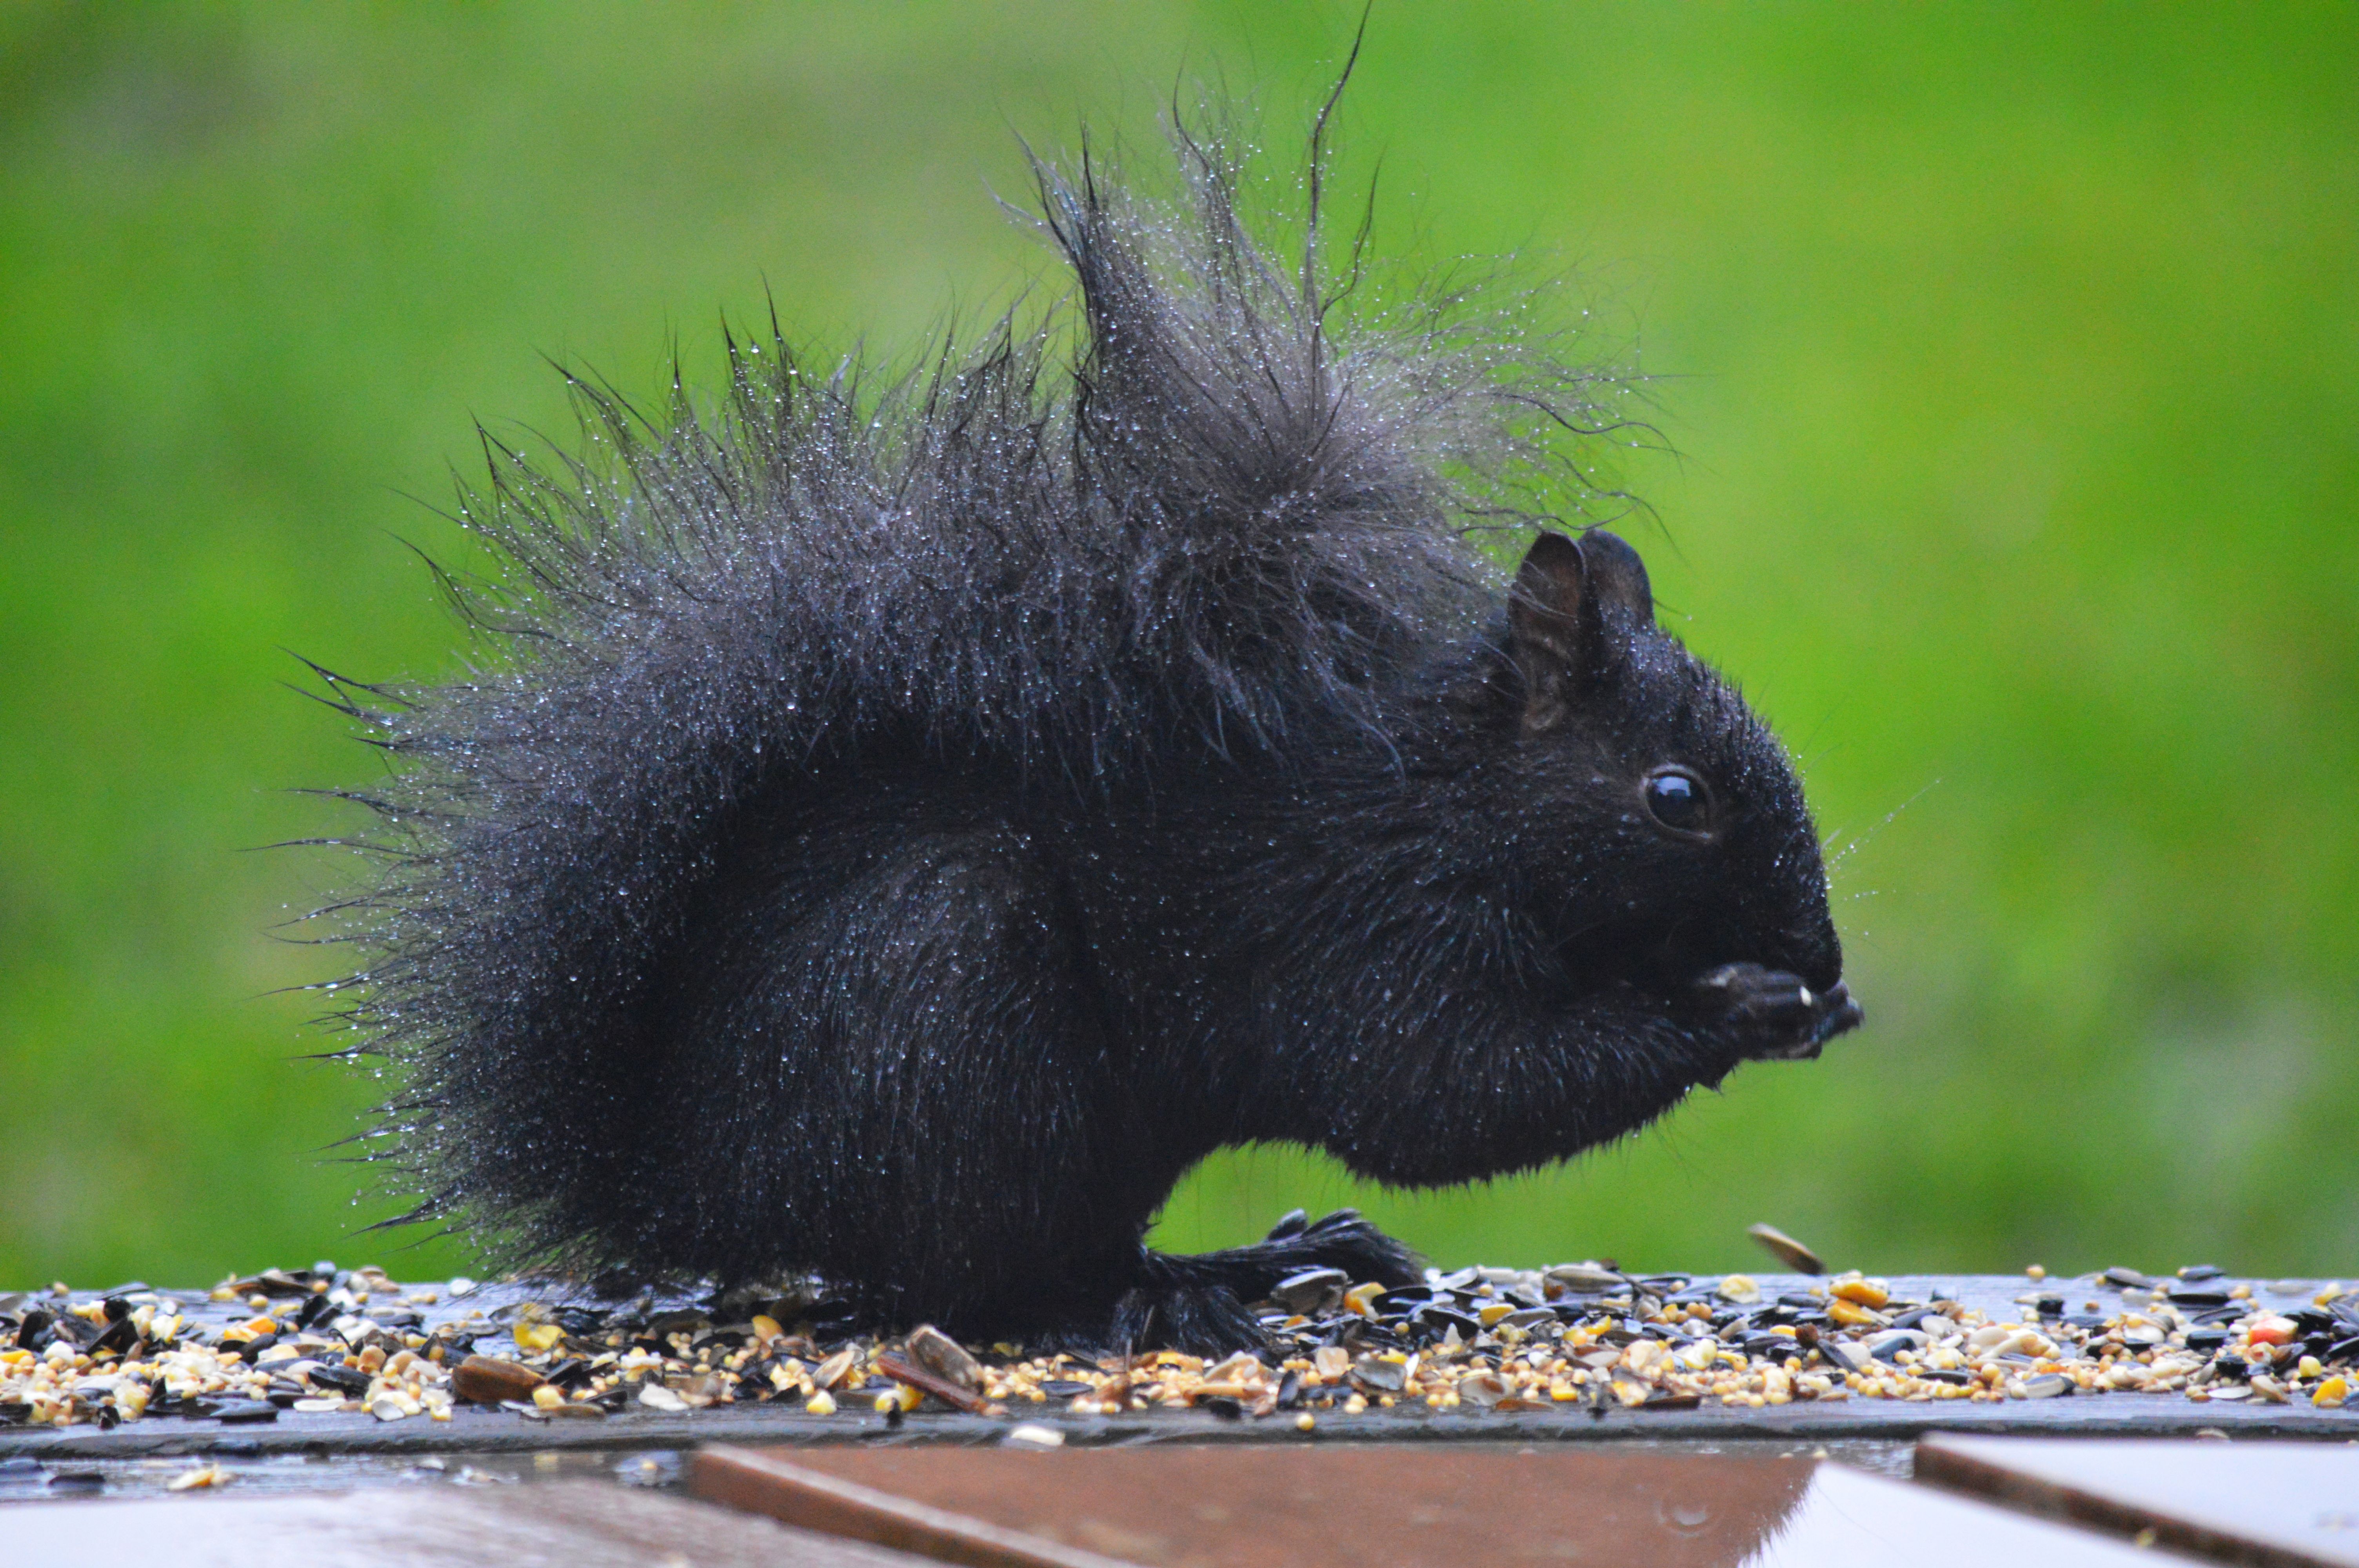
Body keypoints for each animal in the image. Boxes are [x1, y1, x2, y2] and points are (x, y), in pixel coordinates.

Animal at [314, 113, 1859, 1358]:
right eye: (1675, 796)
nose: (1826, 960)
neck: (1448, 805)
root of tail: (686, 1181)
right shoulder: (1365, 934)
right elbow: (1449, 1093)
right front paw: (1737, 1008)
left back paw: (1270, 1257)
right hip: (955, 1018)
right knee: (985, 1277)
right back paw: (1175, 1292)